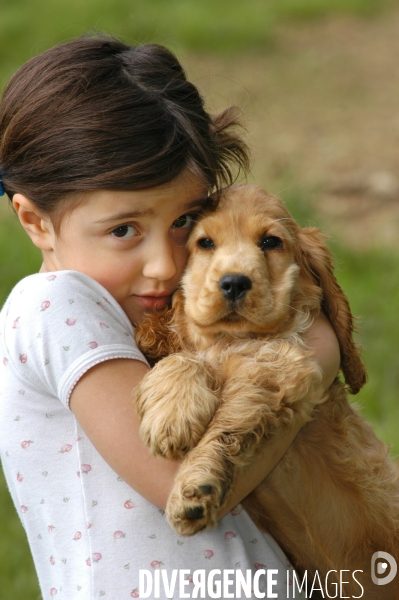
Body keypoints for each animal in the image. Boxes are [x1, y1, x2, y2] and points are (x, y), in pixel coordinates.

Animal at [135, 185, 399, 596]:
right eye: (205, 242)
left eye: (270, 242)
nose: (234, 282)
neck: (236, 338)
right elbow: (188, 357)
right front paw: (173, 414)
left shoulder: (280, 368)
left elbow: (227, 422)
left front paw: (195, 487)